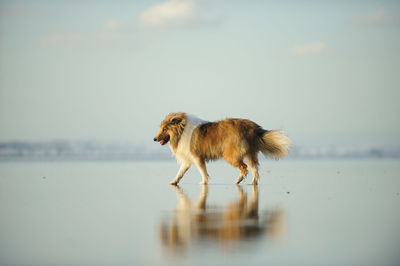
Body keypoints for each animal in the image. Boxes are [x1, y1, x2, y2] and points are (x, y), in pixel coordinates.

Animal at [154, 112, 290, 185]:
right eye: (160, 128)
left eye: (164, 129)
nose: (154, 139)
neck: (181, 131)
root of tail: (252, 127)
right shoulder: (188, 160)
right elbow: (180, 172)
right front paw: (173, 182)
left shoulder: (197, 157)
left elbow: (203, 171)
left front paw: (204, 182)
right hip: (249, 154)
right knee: (254, 169)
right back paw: (252, 182)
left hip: (230, 155)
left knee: (244, 168)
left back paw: (238, 180)